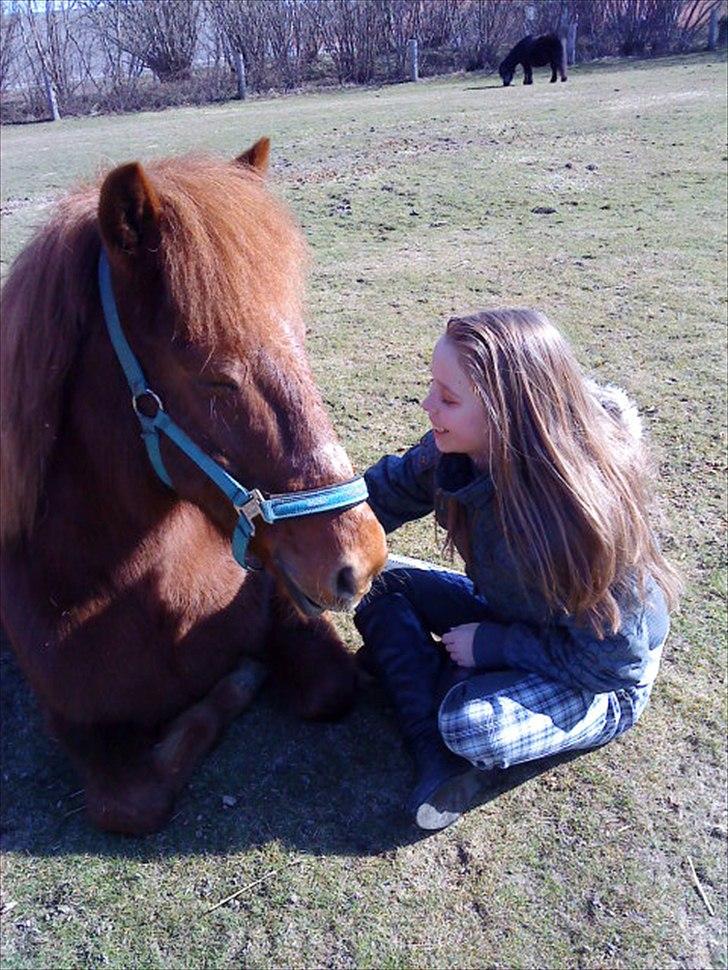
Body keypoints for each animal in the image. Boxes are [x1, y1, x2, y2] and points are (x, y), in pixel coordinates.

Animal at [0, 136, 390, 832]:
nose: (362, 561)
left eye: (301, 341)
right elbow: (134, 800)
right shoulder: (76, 724)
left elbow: (330, 687)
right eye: (214, 378)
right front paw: (239, 683)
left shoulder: (281, 606)